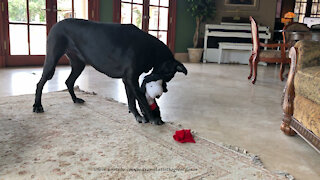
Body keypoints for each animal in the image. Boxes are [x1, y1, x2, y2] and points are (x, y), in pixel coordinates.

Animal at [32, 18, 188, 125]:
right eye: (168, 75)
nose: (164, 90)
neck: (151, 49)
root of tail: (56, 24)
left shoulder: (127, 80)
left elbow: (132, 100)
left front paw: (138, 115)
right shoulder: (131, 79)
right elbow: (141, 99)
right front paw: (152, 118)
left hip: (78, 64)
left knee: (69, 81)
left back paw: (75, 99)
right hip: (52, 60)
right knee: (40, 83)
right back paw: (37, 106)